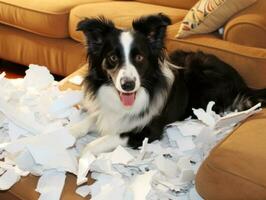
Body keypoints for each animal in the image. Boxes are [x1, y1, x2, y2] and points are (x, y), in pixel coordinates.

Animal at [70, 13, 266, 155]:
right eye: (112, 58)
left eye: (139, 57)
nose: (128, 85)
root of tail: (241, 81)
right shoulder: (105, 112)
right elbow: (86, 122)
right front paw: (66, 135)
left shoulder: (146, 132)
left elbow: (95, 143)